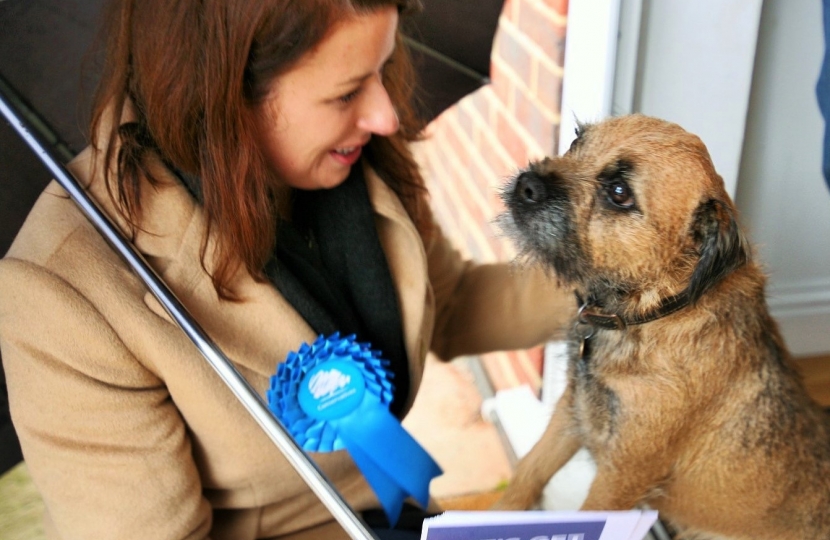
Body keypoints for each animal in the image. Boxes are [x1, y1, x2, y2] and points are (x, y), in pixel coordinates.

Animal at [494, 115, 830, 540]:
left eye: (620, 193)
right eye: (575, 142)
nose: (527, 183)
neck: (648, 314)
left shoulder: (621, 476)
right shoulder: (571, 414)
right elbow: (528, 472)